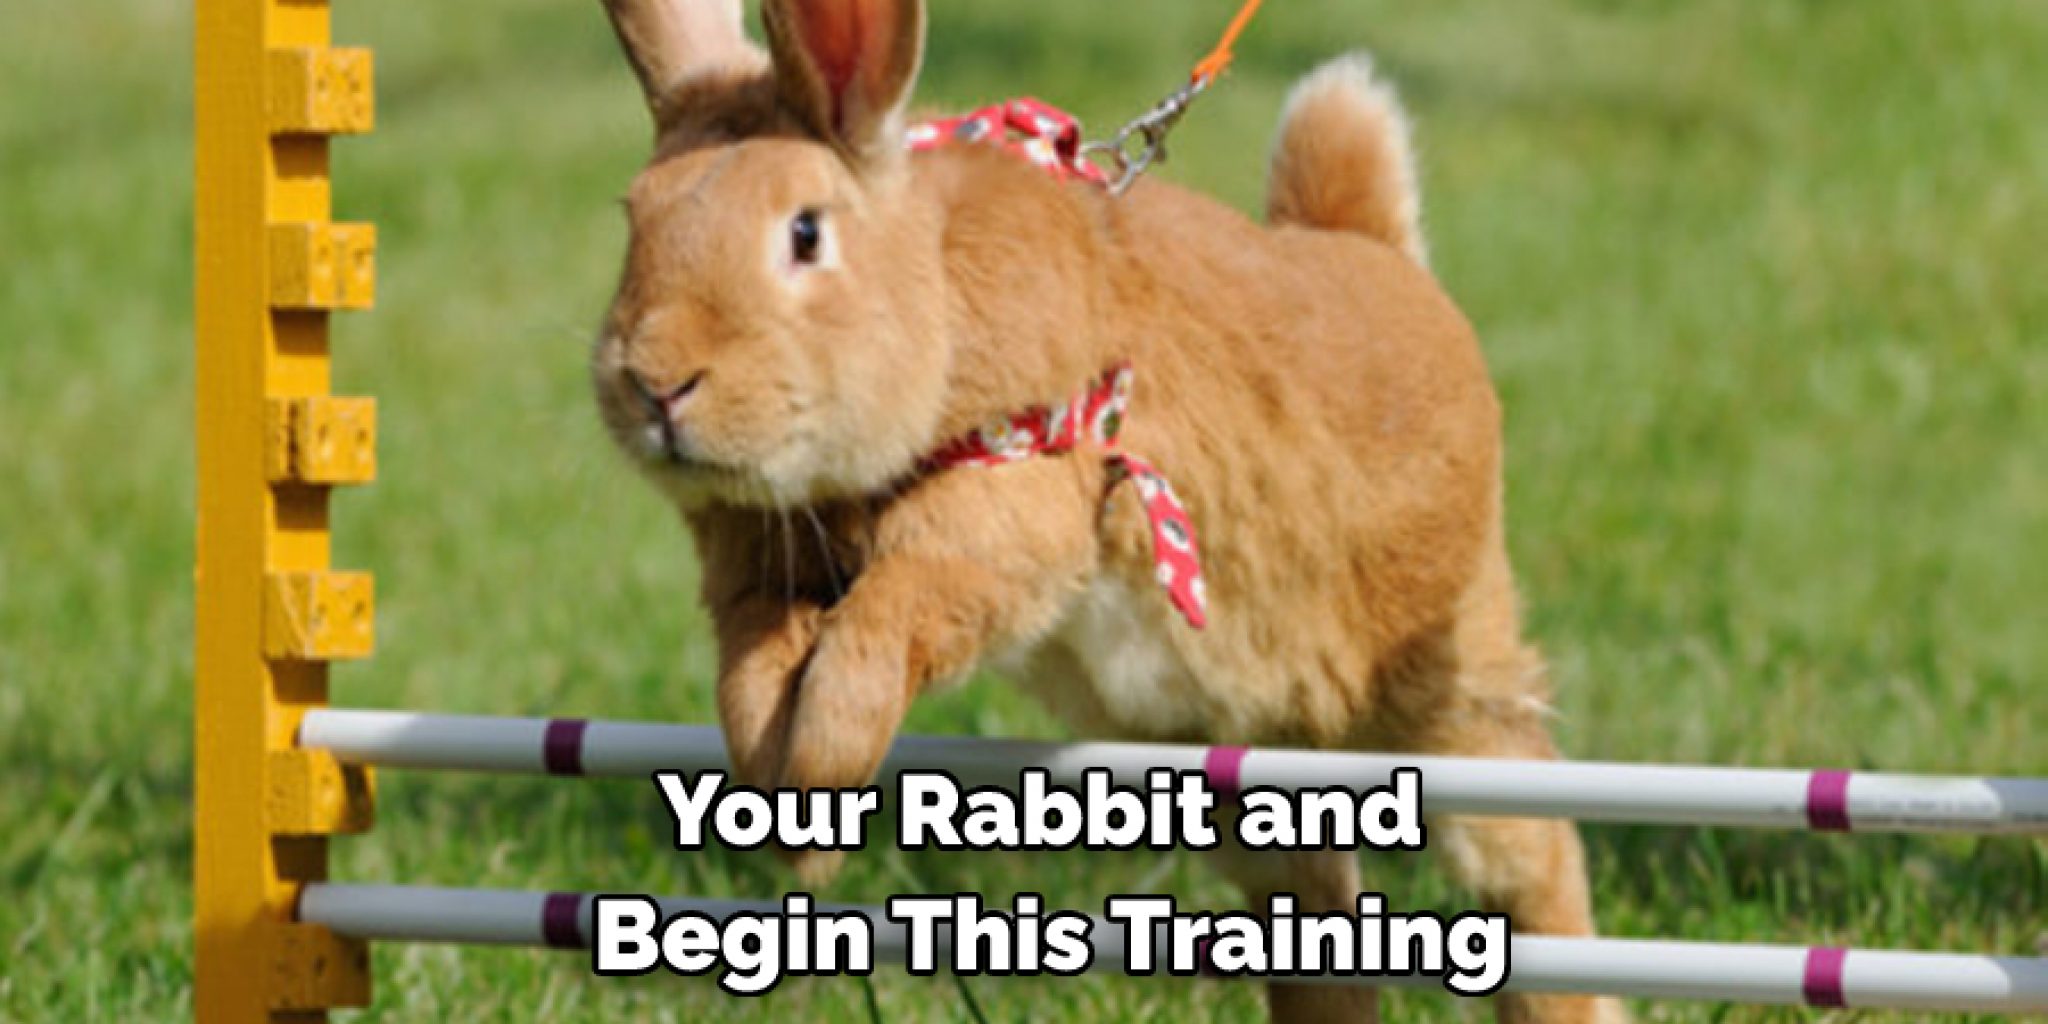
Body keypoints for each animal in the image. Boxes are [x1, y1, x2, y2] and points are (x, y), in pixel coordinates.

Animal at [591, 1, 1622, 1021]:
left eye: (805, 234)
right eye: (633, 219)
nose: (656, 384)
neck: (935, 294)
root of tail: (1384, 257)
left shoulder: (1009, 513)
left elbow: (880, 632)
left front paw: (813, 807)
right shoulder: (757, 576)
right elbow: (753, 674)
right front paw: (776, 807)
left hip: (1444, 700)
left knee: (1531, 861)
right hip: (1242, 784)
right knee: (1319, 921)